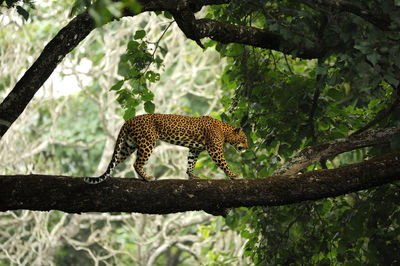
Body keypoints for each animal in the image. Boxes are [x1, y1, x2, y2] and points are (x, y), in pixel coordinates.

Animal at [84, 113, 247, 184]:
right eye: (244, 139)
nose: (246, 147)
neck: (225, 131)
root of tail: (129, 120)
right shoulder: (215, 150)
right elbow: (224, 164)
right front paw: (234, 176)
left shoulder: (194, 149)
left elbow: (191, 163)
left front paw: (192, 176)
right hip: (147, 142)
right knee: (136, 163)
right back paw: (147, 177)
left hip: (128, 145)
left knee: (115, 161)